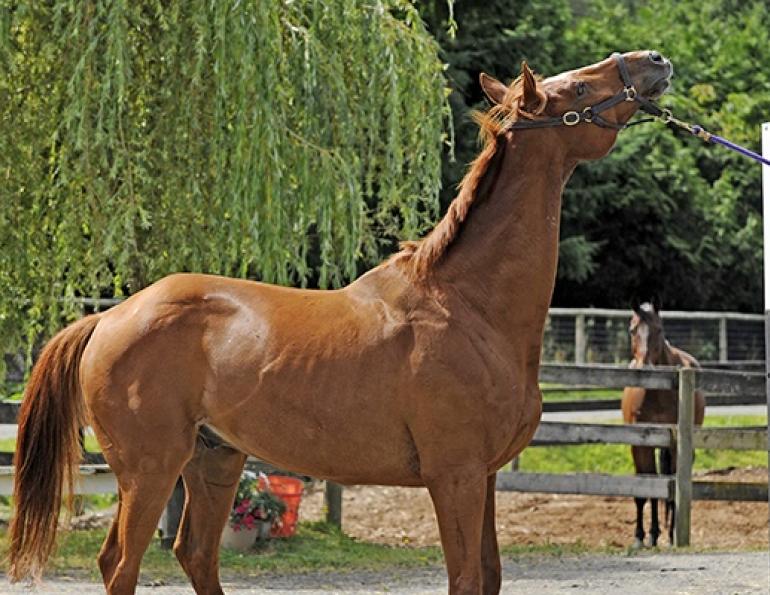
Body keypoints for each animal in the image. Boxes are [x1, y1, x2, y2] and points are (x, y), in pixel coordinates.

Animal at [10, 51, 673, 594]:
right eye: (579, 88)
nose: (654, 61)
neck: (469, 306)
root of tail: (108, 318)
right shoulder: (455, 477)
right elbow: (464, 579)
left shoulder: (482, 479)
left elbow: (489, 577)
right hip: (149, 472)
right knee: (121, 565)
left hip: (214, 460)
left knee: (194, 554)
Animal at [621, 302, 705, 548]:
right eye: (632, 330)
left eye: (659, 329)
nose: (646, 367)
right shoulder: (639, 444)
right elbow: (644, 490)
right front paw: (640, 537)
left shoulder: (676, 445)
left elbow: (672, 489)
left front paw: (669, 535)